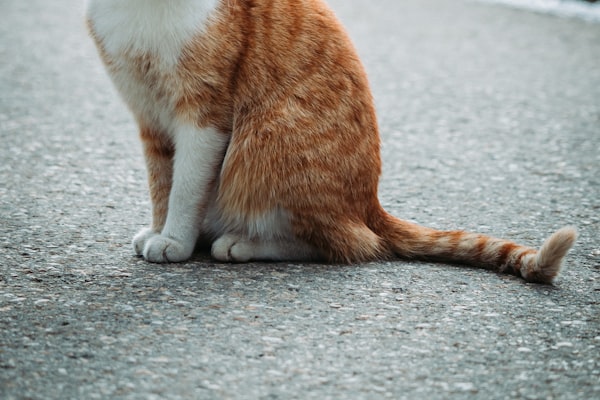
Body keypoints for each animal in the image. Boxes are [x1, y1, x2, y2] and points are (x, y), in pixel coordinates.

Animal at [85, 0, 576, 282]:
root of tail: (369, 204)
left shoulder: (204, 116)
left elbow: (185, 188)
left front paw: (175, 241)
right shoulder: (150, 118)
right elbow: (161, 184)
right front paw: (159, 229)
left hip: (267, 139)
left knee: (347, 243)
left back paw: (241, 243)